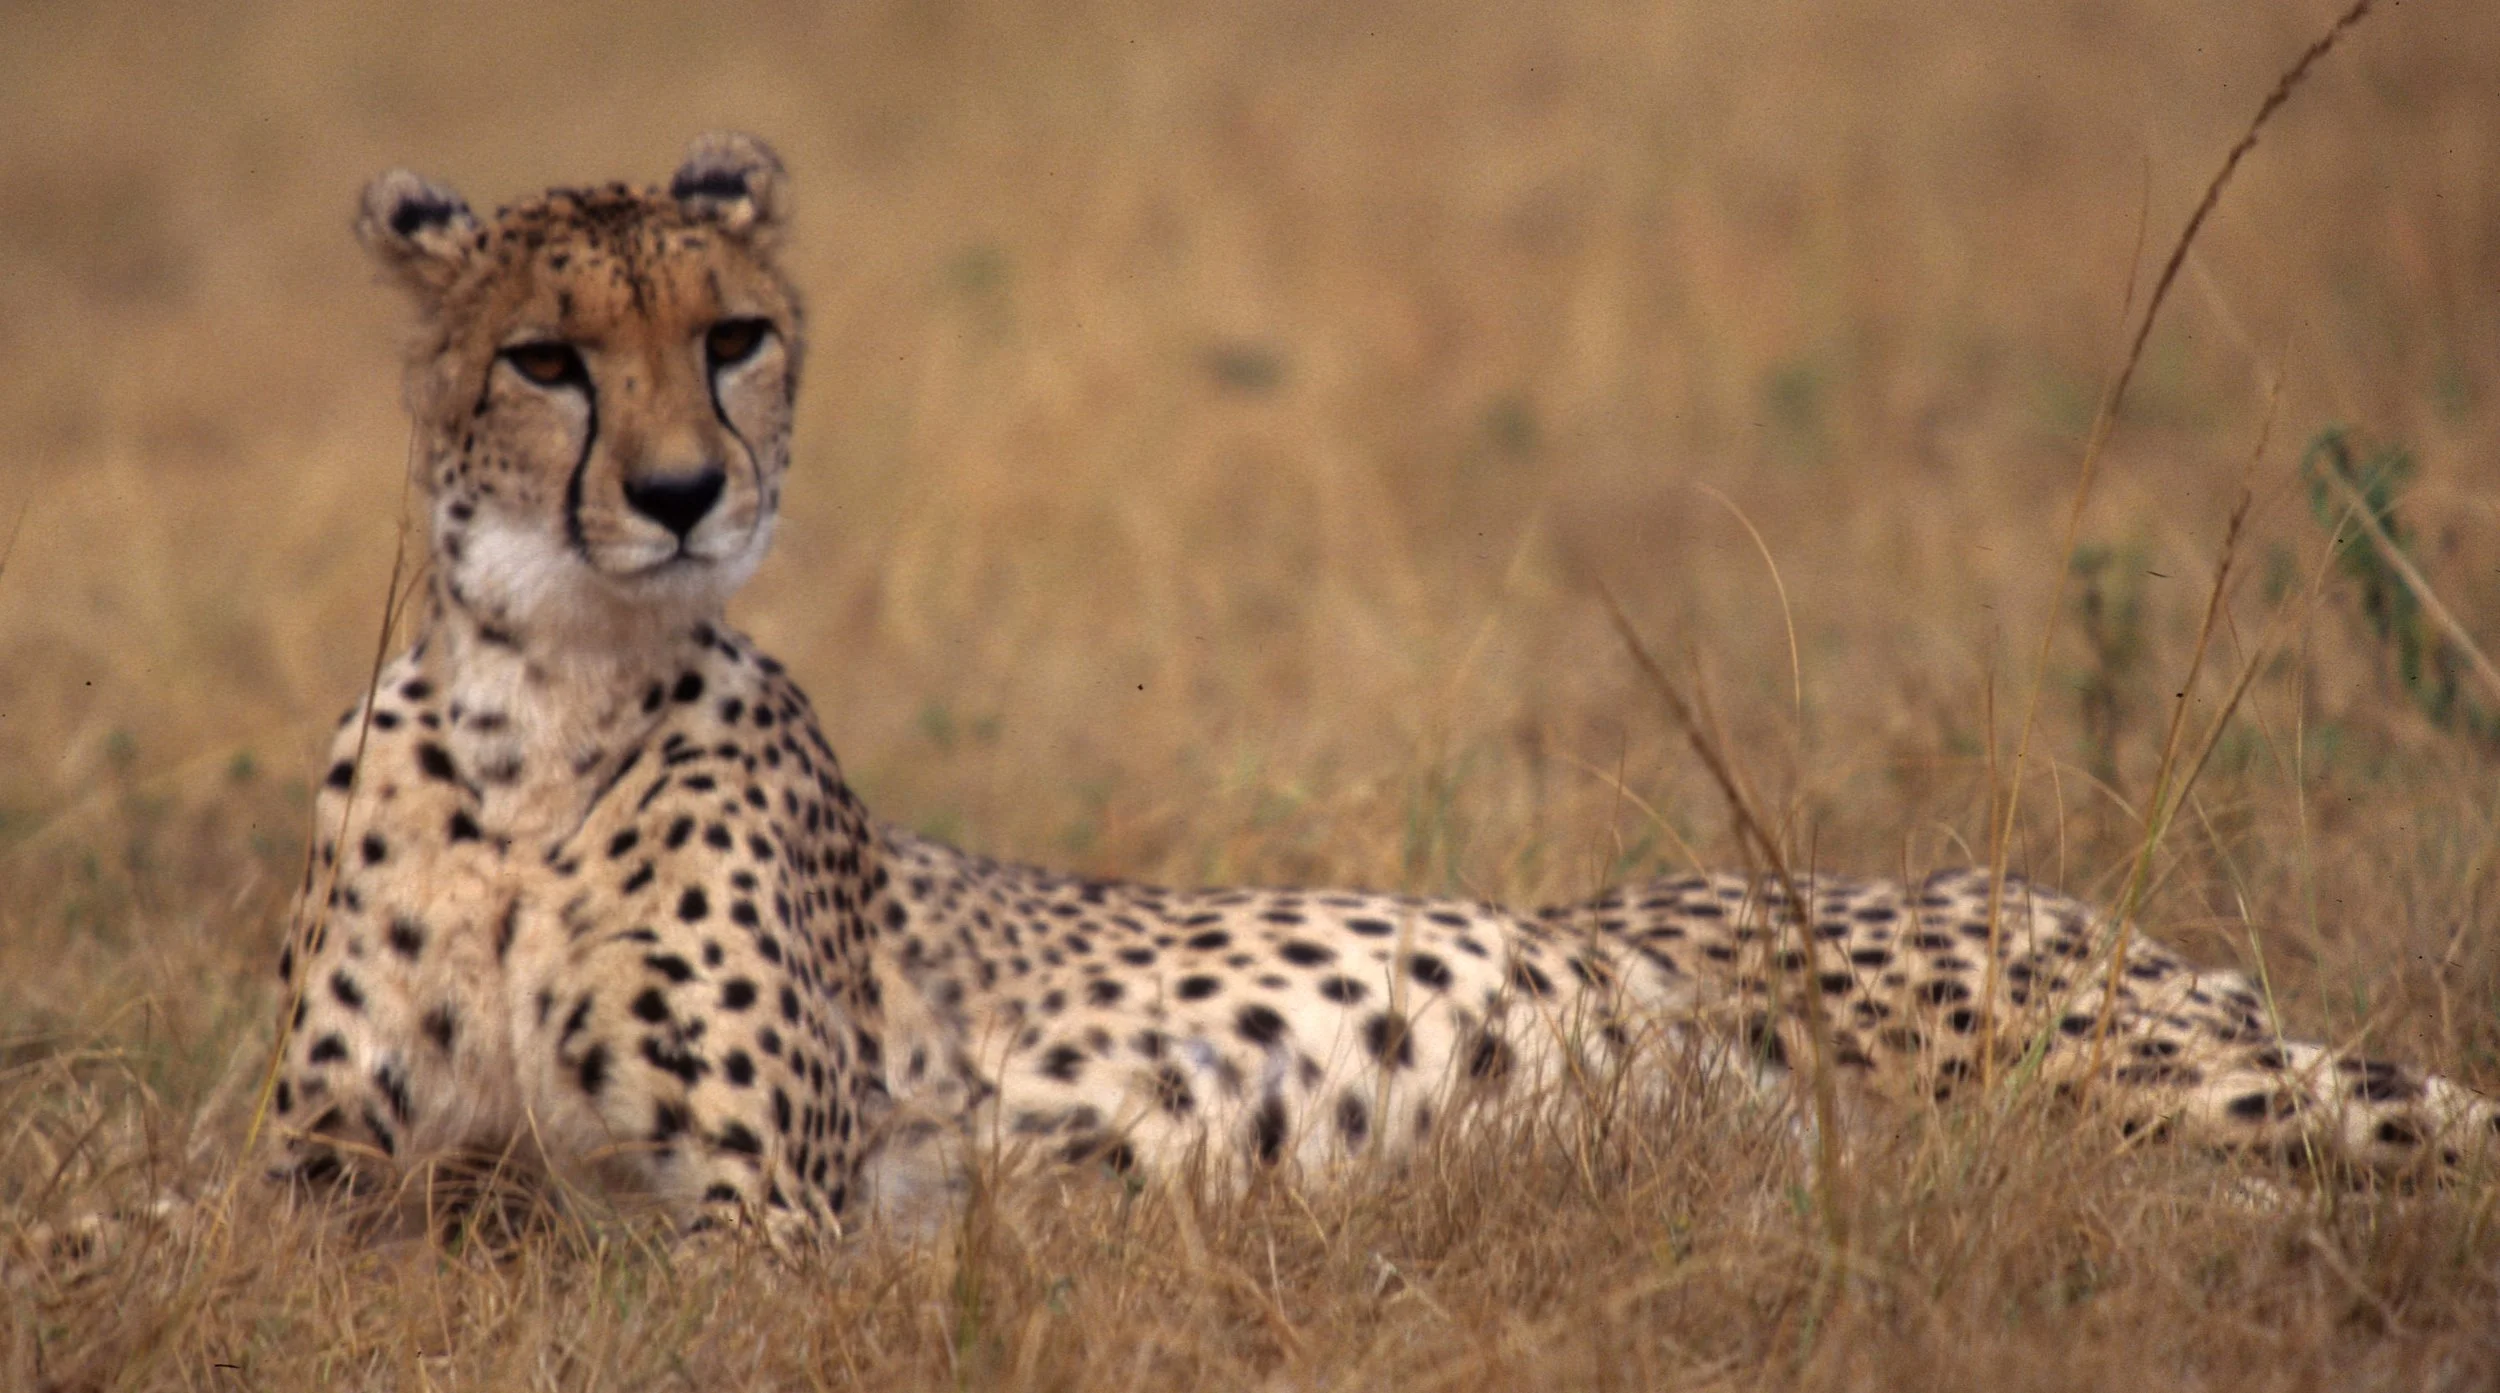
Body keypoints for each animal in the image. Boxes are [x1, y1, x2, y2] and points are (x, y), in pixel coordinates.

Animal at [259, 131, 2496, 1247]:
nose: (681, 492)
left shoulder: (767, 1228)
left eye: (730, 336)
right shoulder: (318, 1183)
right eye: (547, 359)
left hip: (2117, 1068)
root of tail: (2040, 889)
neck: (549, 706)